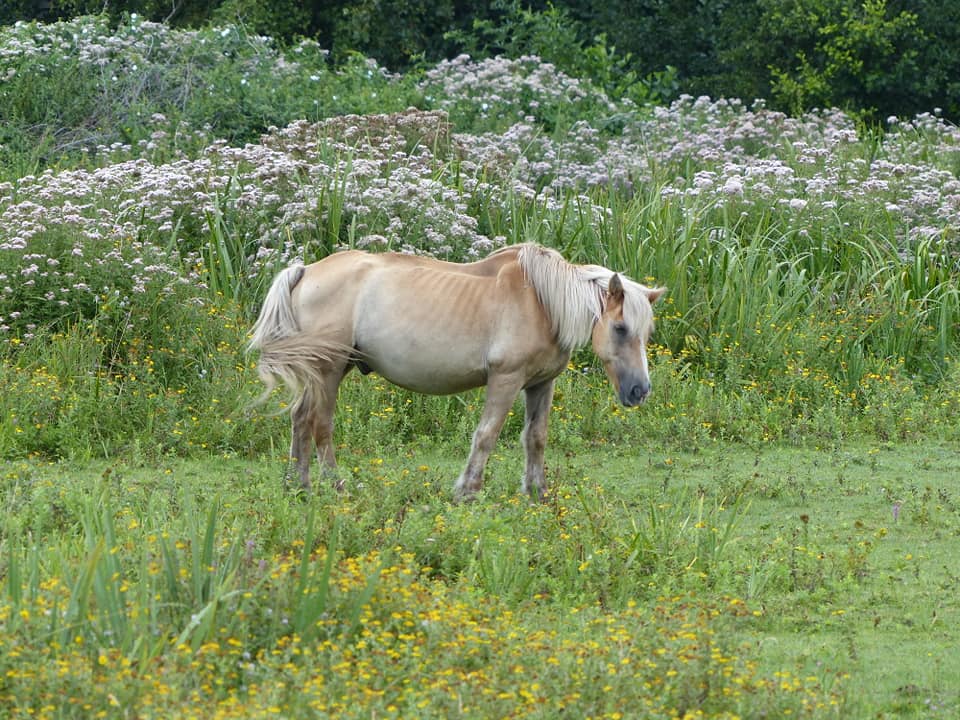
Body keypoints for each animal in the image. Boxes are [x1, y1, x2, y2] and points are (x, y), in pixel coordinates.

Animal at [251, 242, 664, 500]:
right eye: (620, 328)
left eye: (646, 332)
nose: (639, 391)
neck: (543, 302)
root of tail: (305, 271)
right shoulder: (506, 380)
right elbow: (486, 436)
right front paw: (468, 490)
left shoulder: (541, 384)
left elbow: (536, 438)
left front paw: (537, 492)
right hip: (329, 372)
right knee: (320, 426)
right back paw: (336, 486)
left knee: (301, 421)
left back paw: (299, 486)